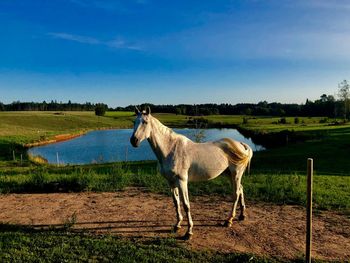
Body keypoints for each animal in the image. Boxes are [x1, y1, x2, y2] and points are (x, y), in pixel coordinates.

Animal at [130, 107, 253, 241]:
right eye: (134, 122)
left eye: (145, 122)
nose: (133, 141)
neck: (170, 149)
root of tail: (242, 145)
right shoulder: (171, 182)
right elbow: (176, 203)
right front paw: (177, 225)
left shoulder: (182, 181)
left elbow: (186, 205)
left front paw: (188, 232)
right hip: (229, 175)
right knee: (241, 189)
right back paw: (242, 215)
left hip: (236, 174)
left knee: (236, 194)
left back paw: (229, 221)